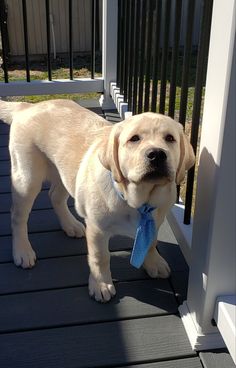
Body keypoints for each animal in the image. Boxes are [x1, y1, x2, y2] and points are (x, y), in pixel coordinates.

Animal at [0, 98, 195, 302]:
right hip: (27, 178)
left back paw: (70, 225)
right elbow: (100, 257)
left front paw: (154, 263)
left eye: (170, 138)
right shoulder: (97, 229)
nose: (157, 154)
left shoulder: (155, 221)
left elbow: (151, 242)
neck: (137, 200)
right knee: (18, 216)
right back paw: (22, 251)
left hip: (65, 173)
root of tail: (28, 106)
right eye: (134, 139)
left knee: (55, 196)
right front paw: (101, 284)